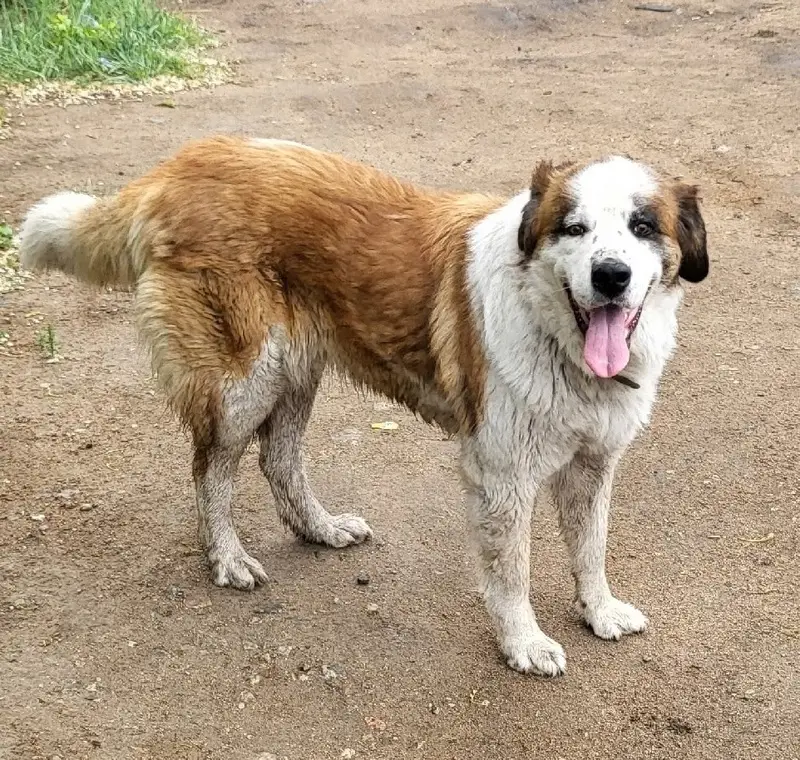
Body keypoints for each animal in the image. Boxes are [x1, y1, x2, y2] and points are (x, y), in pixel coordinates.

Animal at [19, 136, 708, 676]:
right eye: (574, 228)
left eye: (643, 227)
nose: (612, 275)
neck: (554, 328)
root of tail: (178, 166)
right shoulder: (502, 475)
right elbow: (512, 571)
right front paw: (523, 643)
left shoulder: (593, 465)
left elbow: (591, 547)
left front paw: (599, 609)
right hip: (246, 380)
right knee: (211, 470)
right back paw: (228, 558)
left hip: (295, 369)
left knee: (278, 458)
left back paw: (319, 528)